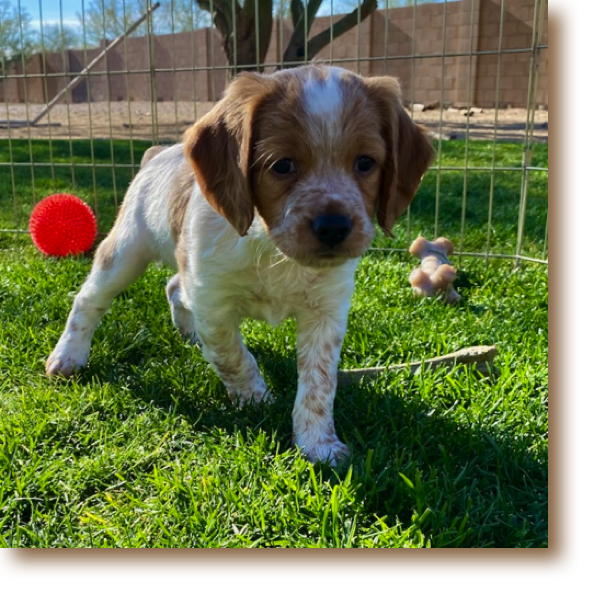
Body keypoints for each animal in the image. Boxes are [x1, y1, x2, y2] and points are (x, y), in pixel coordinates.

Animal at [46, 63, 432, 462]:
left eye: (366, 162)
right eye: (282, 165)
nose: (334, 227)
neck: (271, 247)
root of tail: (157, 155)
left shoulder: (326, 311)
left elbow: (319, 380)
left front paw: (318, 444)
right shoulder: (213, 303)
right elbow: (232, 356)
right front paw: (257, 400)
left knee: (173, 286)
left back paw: (187, 332)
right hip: (126, 251)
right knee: (89, 299)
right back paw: (68, 356)